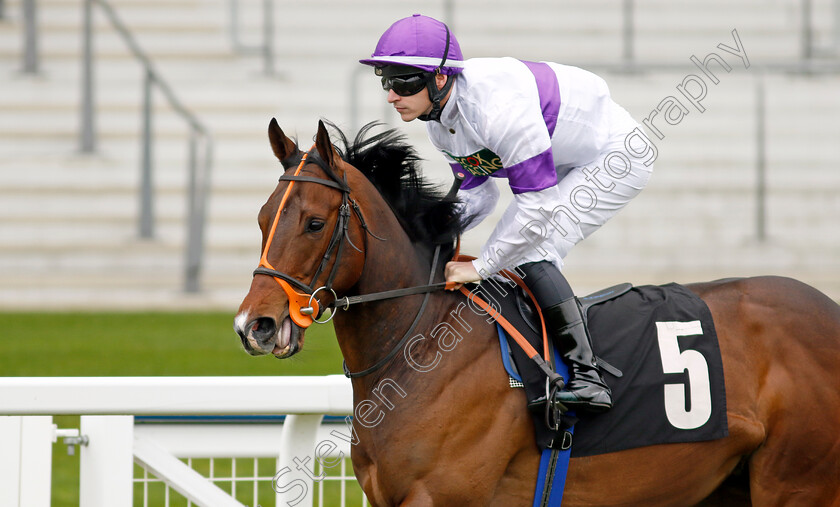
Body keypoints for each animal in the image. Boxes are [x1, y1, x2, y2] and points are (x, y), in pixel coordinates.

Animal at [235, 117, 840, 506]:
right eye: (262, 219)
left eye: (314, 222)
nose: (254, 326)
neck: (420, 350)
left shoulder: (441, 498)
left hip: (797, 483)